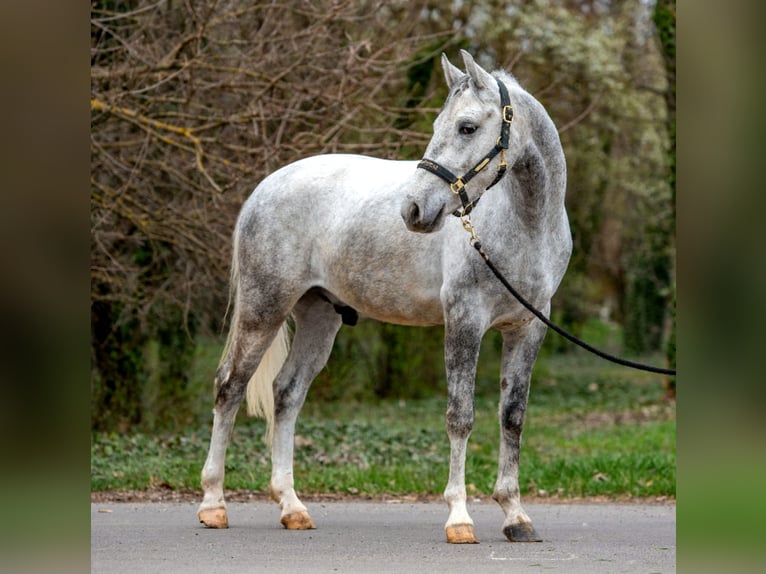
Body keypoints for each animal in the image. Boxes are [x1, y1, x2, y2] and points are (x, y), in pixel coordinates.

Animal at [198, 50, 572, 544]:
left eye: (467, 126)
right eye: (440, 124)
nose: (413, 210)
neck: (525, 223)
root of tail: (265, 187)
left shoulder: (527, 328)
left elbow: (512, 417)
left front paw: (515, 516)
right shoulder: (465, 319)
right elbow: (460, 416)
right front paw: (459, 518)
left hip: (320, 315)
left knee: (286, 393)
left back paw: (292, 507)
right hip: (264, 307)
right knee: (230, 387)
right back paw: (213, 504)